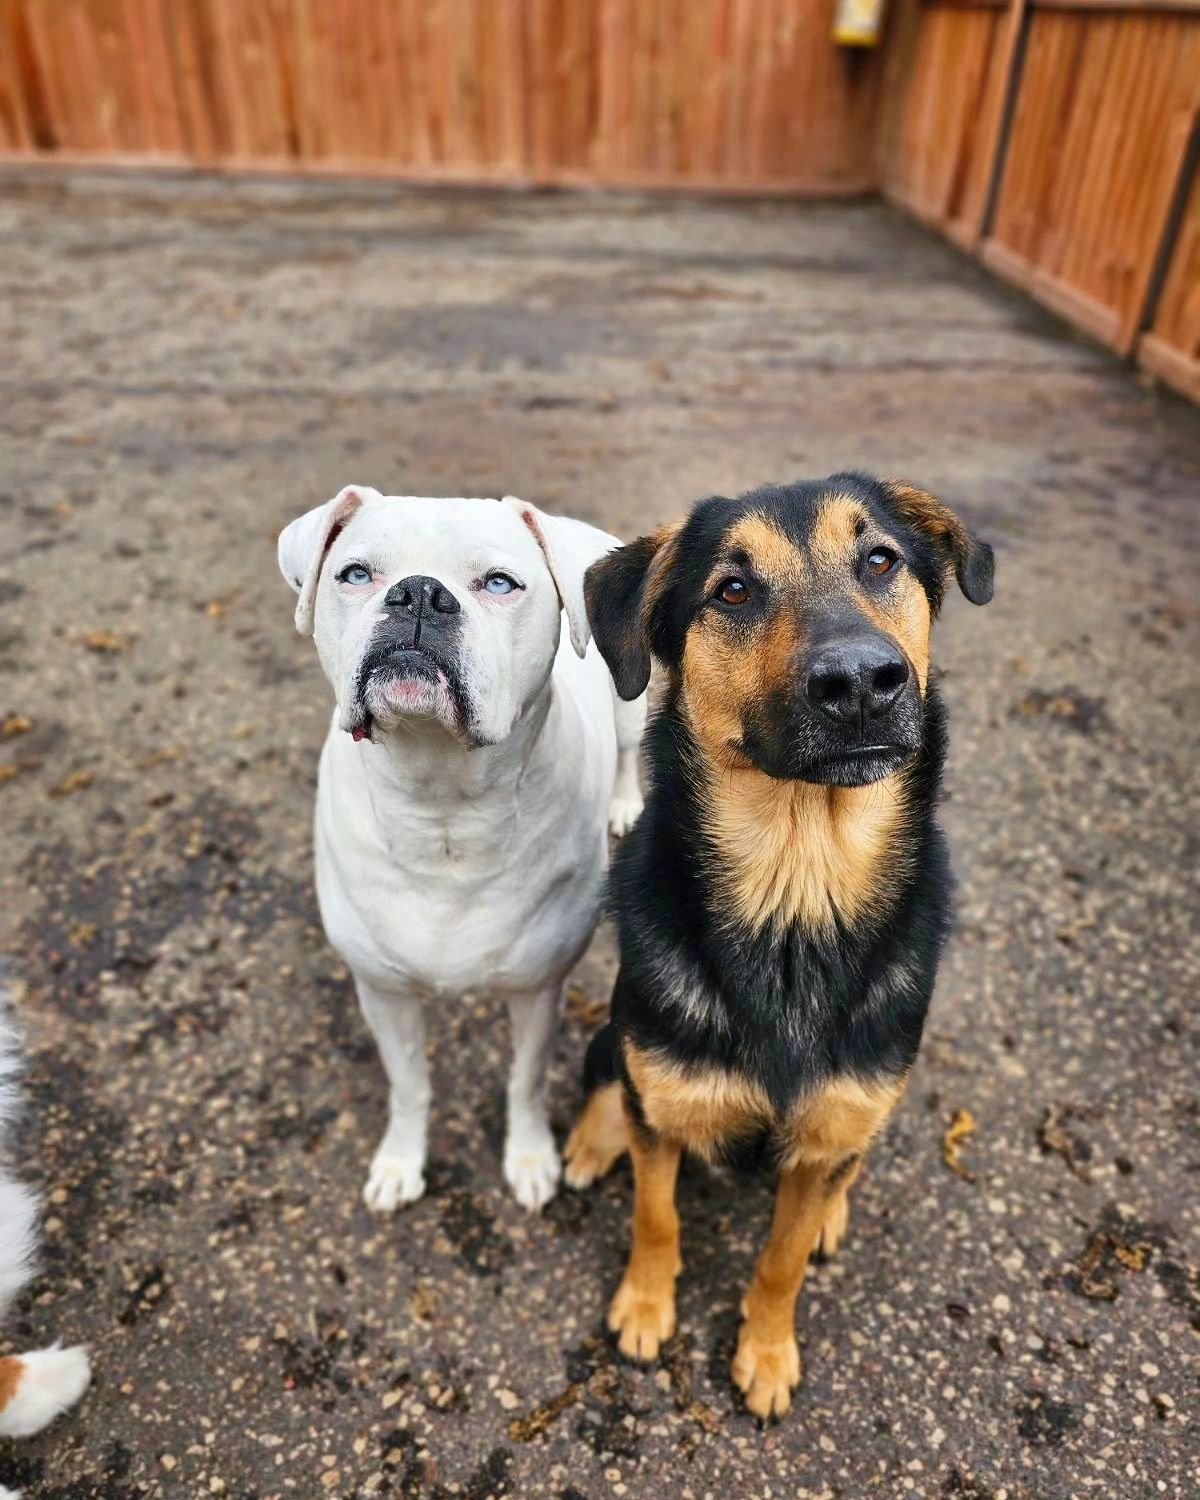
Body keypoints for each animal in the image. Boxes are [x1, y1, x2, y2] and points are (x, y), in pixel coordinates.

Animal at [279, 486, 648, 1212]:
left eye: (500, 584)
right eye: (355, 574)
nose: (420, 594)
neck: (442, 803)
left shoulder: (538, 989)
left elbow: (524, 1081)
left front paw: (530, 1158)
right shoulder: (384, 992)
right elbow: (409, 1086)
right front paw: (401, 1162)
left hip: (630, 703)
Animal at [564, 468, 996, 1416]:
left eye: (881, 561)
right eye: (732, 589)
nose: (862, 681)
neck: (797, 896)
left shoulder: (835, 1120)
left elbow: (783, 1258)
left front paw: (764, 1351)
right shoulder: (663, 1090)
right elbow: (656, 1211)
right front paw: (644, 1306)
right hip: (619, 1034)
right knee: (613, 1081)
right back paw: (592, 1140)